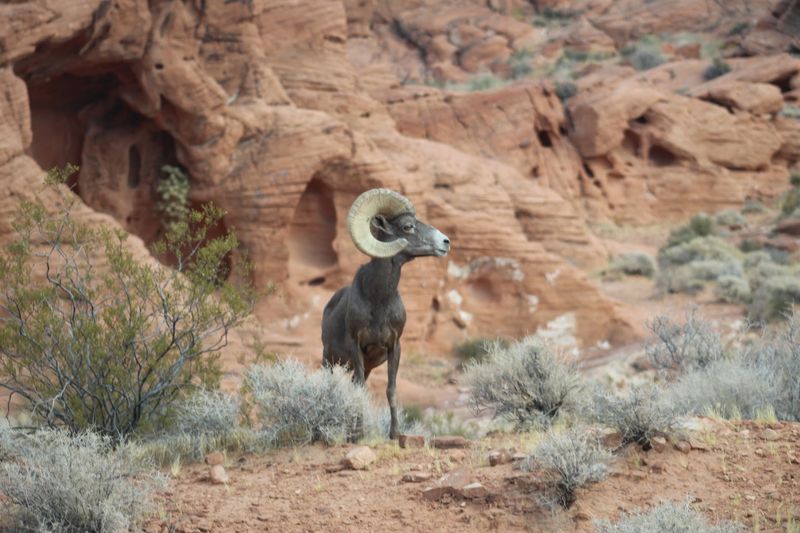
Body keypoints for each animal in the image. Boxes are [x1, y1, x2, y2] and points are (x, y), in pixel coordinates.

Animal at [322, 188, 450, 439]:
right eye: (407, 226)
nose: (445, 242)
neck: (378, 300)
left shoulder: (394, 346)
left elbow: (390, 390)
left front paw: (394, 434)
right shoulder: (356, 346)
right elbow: (361, 390)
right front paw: (360, 434)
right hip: (329, 361)